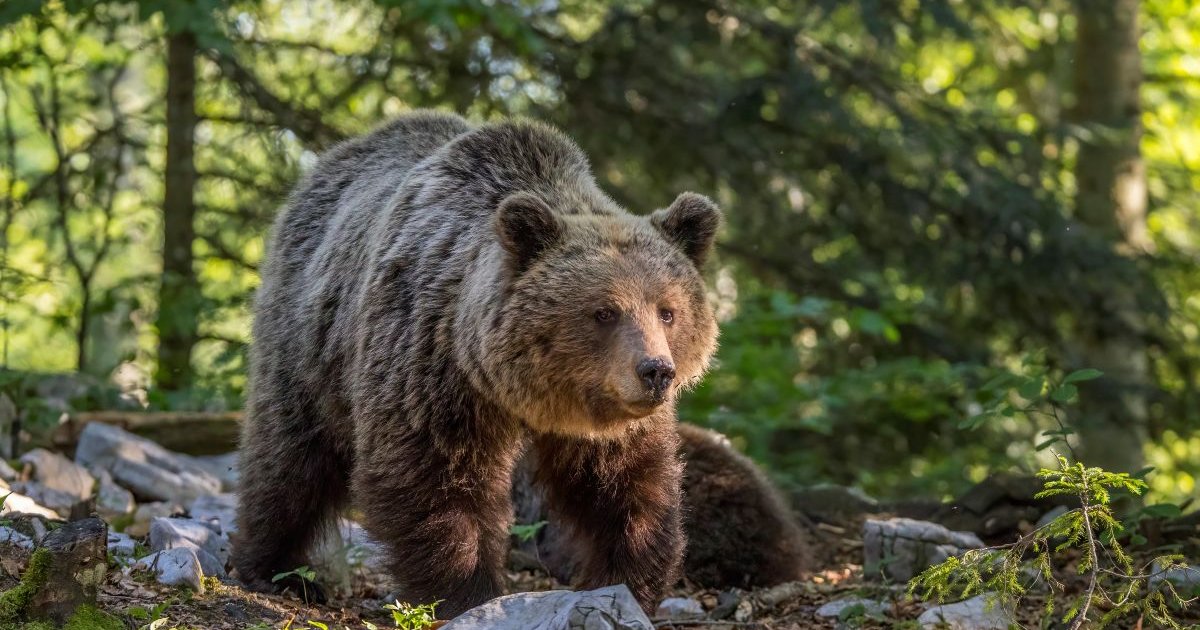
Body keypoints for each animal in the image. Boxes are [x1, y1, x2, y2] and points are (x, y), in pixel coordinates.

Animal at [233, 110, 722, 617]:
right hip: (309, 339)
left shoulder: (607, 418)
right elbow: (434, 477)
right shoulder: (430, 365)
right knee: (291, 457)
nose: (655, 371)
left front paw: (626, 581)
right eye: (605, 311)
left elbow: (626, 486)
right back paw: (277, 569)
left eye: (668, 311)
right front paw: (466, 592)